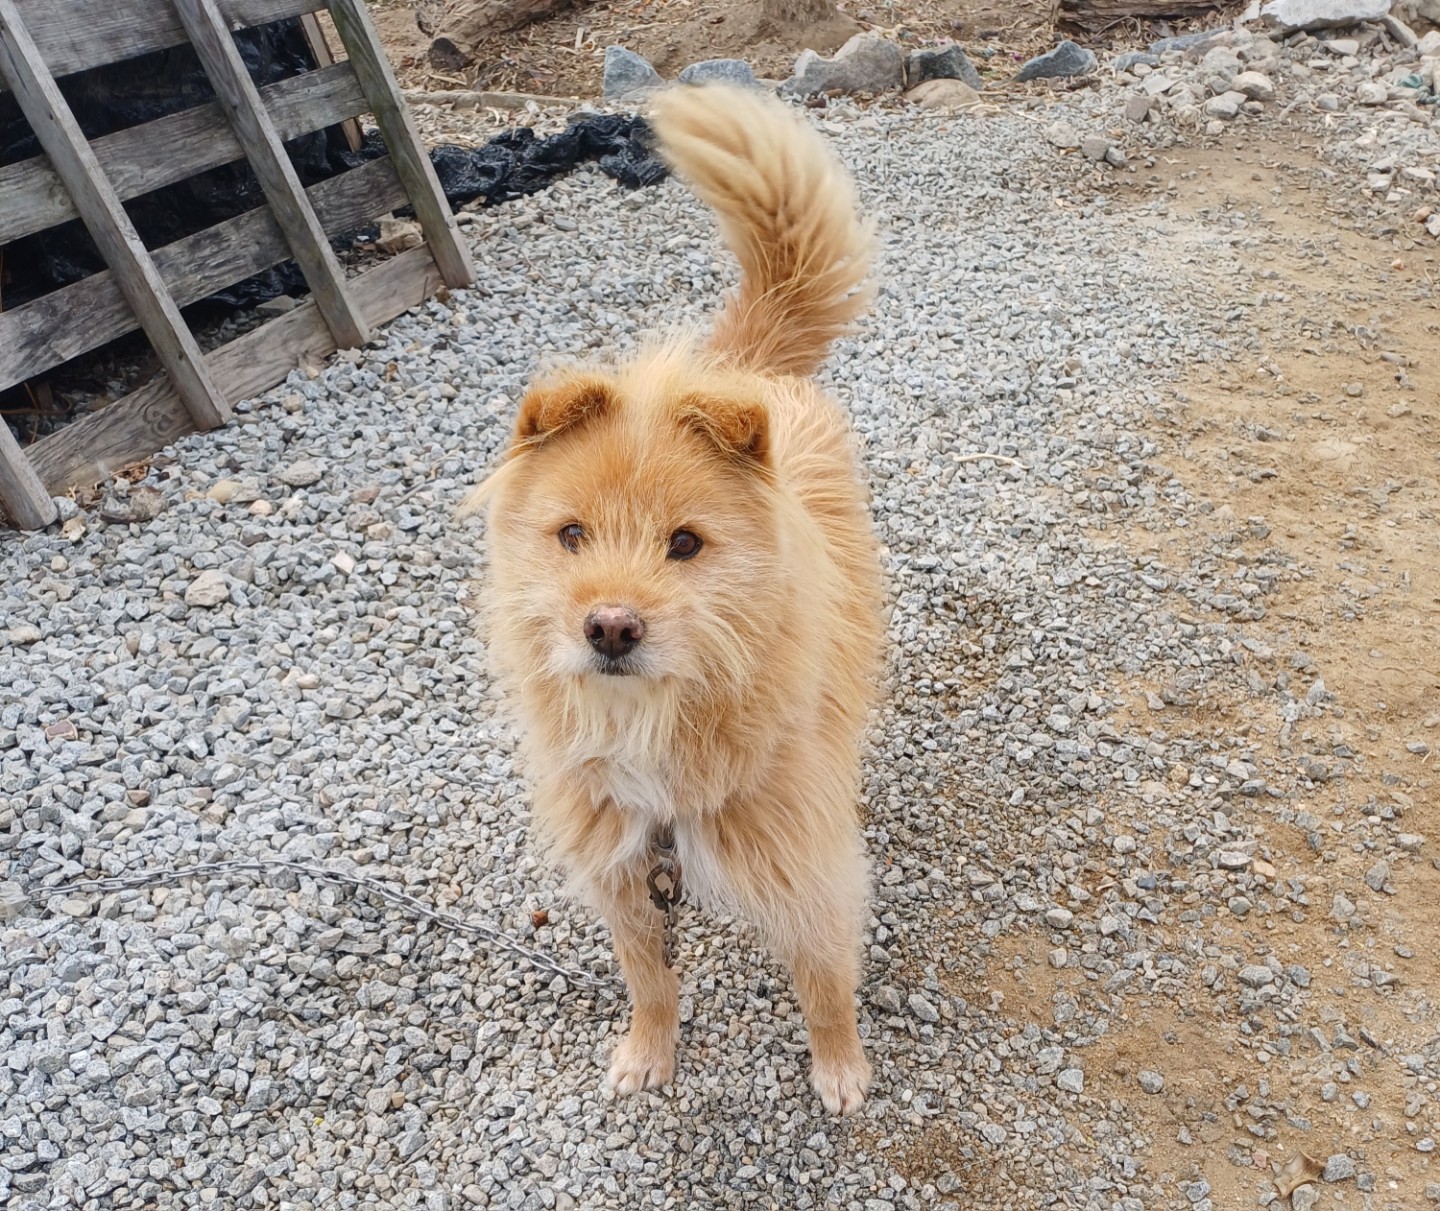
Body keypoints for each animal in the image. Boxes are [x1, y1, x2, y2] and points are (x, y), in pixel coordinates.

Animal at [460, 83, 884, 1115]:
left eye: (685, 544)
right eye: (572, 535)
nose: (610, 625)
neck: (652, 728)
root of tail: (741, 370)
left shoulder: (806, 856)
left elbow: (824, 978)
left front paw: (840, 1067)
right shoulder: (622, 863)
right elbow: (647, 977)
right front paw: (648, 1052)